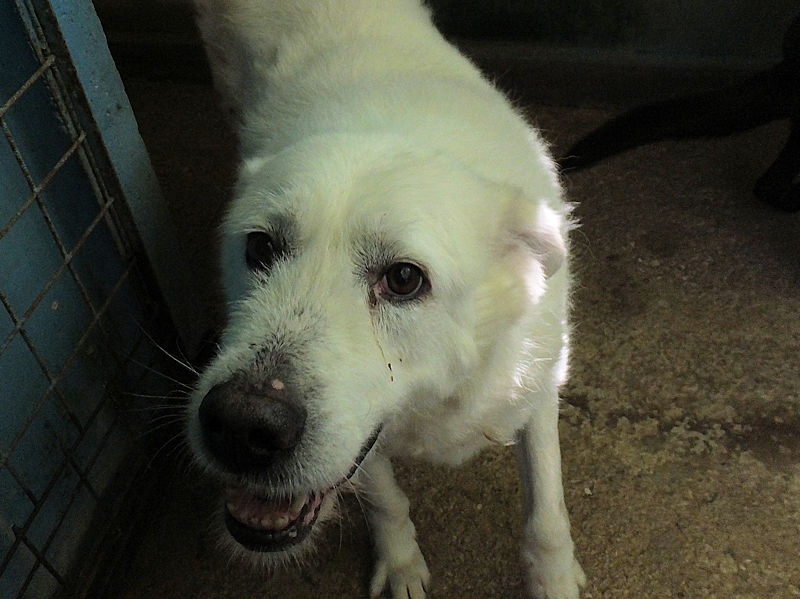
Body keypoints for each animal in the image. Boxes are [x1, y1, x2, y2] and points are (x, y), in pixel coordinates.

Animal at [186, 2, 585, 598]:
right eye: (260, 247)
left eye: (402, 279)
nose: (240, 425)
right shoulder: (361, 441)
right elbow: (385, 501)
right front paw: (400, 563)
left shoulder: (536, 384)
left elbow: (547, 511)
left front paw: (554, 577)